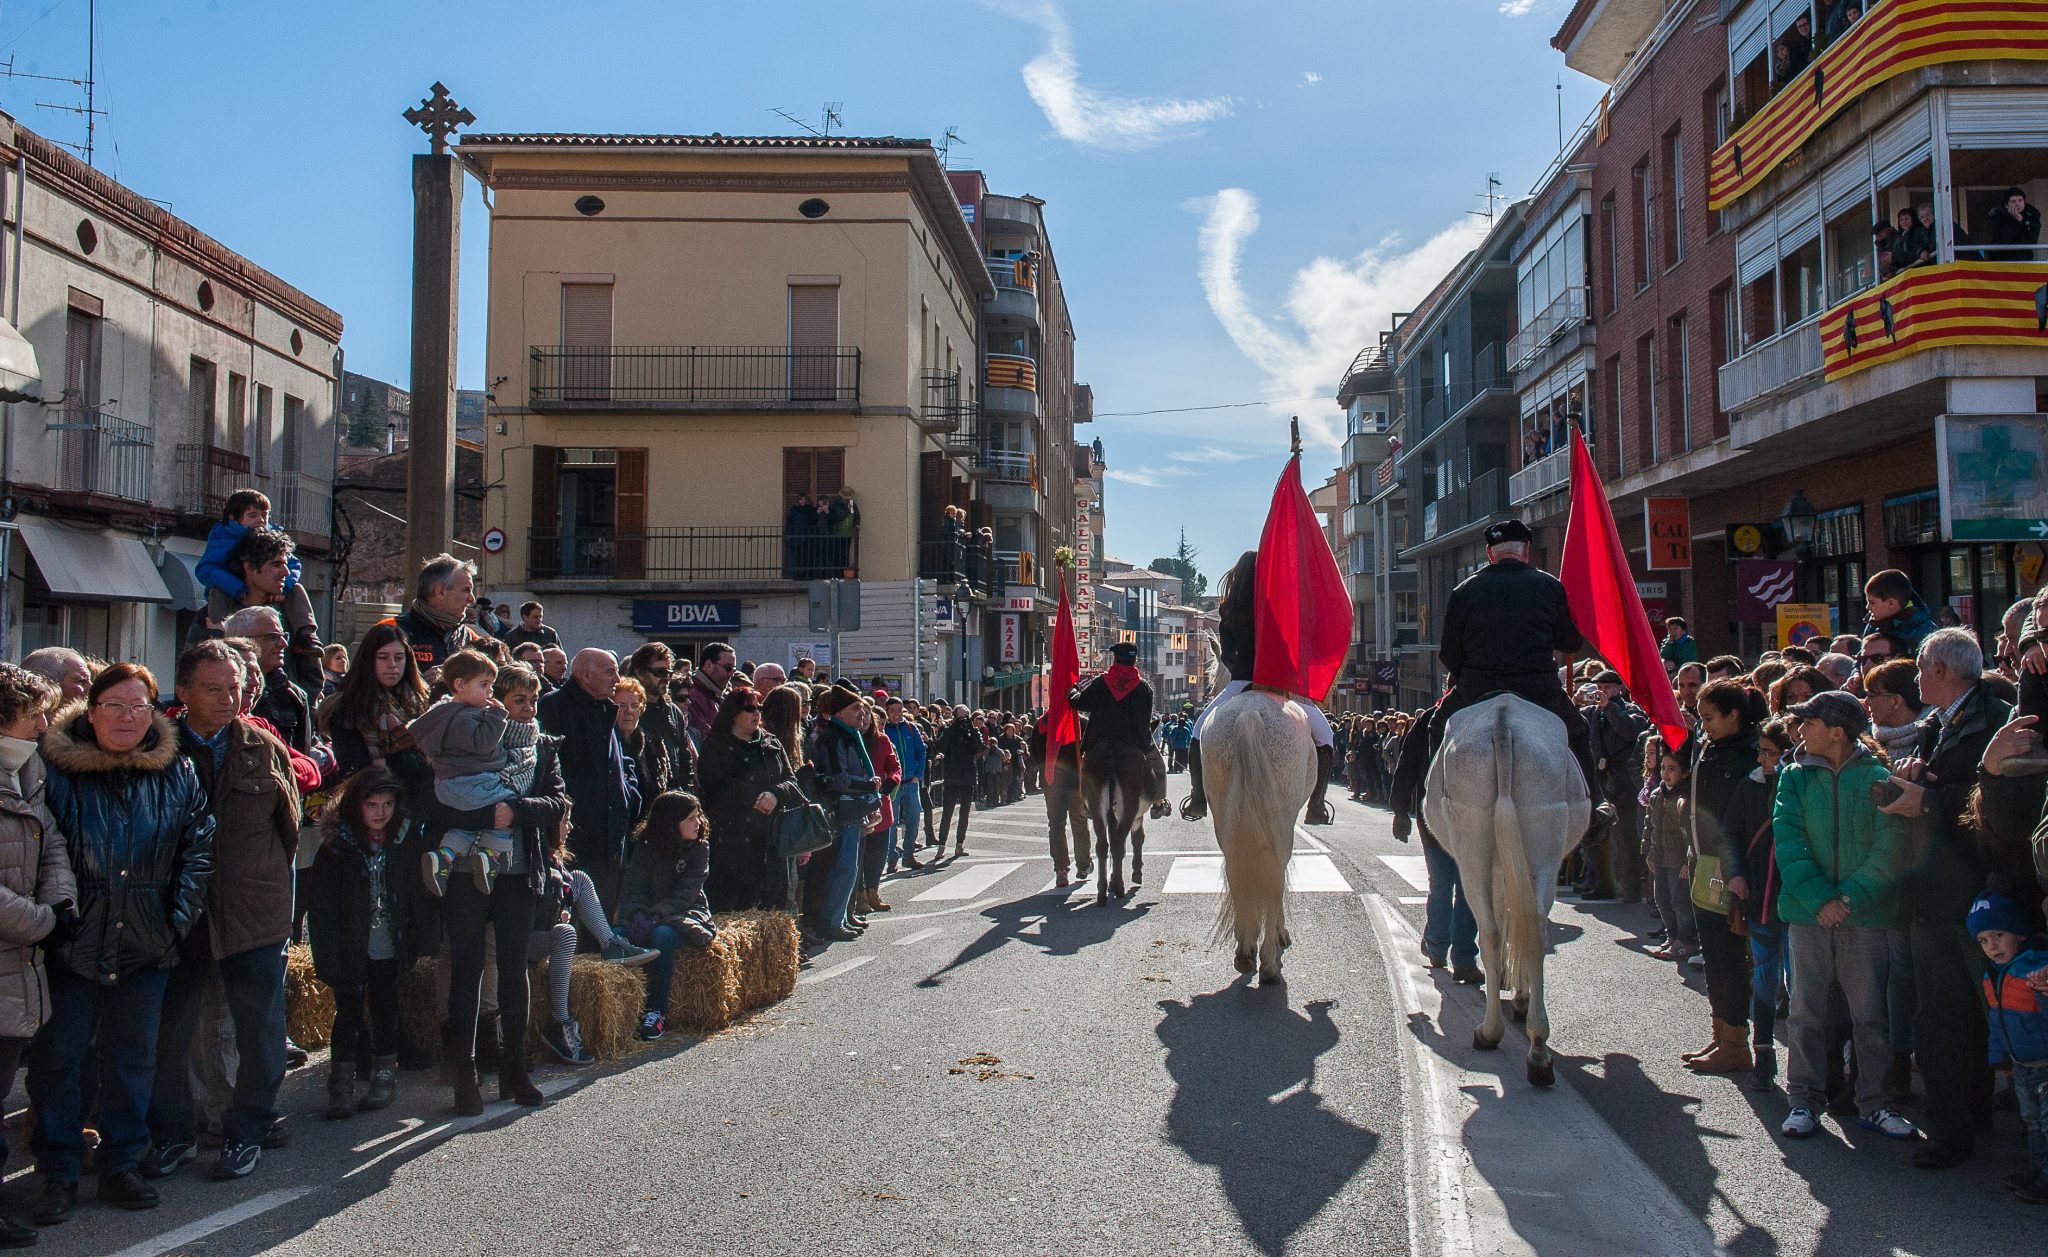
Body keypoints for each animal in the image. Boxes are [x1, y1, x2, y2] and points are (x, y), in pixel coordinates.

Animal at [1196, 663, 1310, 990]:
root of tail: (1249, 716)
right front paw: (1279, 934)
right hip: (1280, 818)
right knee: (1274, 874)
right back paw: (1268, 962)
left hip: (1224, 815)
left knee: (1237, 869)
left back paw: (1245, 952)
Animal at [1417, 696, 1589, 1089]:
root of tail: (1503, 721)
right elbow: (1516, 924)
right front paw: (1519, 991)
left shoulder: (1496, 867)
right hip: (1542, 851)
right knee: (1532, 932)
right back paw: (1536, 1046)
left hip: (1475, 852)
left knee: (1493, 934)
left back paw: (1492, 1032)